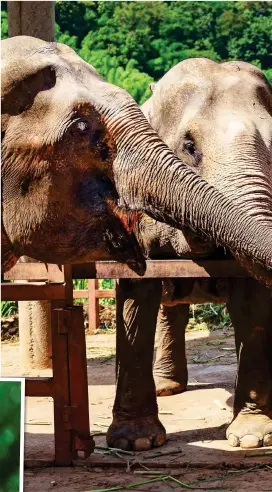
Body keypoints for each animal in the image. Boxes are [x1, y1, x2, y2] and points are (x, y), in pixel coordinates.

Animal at [108, 57, 272, 450]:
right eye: (189, 146)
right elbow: (136, 297)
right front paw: (136, 442)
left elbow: (253, 301)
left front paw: (251, 439)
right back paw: (168, 388)